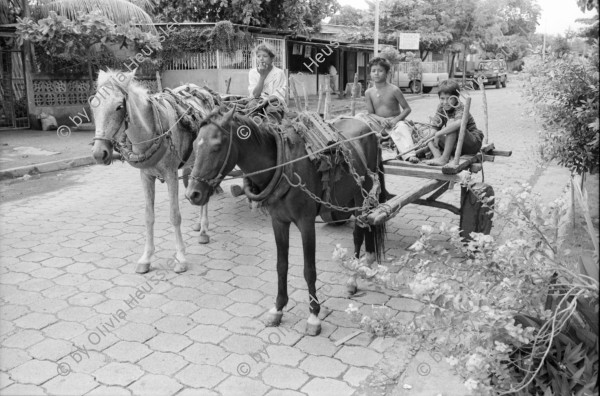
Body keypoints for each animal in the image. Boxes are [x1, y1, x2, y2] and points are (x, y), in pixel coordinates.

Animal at [91, 69, 218, 274]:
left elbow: (175, 216)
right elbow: (148, 217)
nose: (98, 153)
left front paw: (180, 258)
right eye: (93, 105)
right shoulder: (146, 176)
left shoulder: (171, 174)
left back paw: (204, 231)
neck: (151, 132)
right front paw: (146, 258)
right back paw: (199, 224)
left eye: (119, 106)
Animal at [185, 106, 386, 336]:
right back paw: (366, 263)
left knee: (359, 232)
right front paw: (278, 308)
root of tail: (368, 127)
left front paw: (314, 315)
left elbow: (309, 270)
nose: (193, 194)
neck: (282, 165)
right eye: (194, 145)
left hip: (364, 195)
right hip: (353, 196)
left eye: (217, 146)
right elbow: (281, 265)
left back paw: (353, 276)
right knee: (366, 225)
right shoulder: (279, 222)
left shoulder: (306, 223)